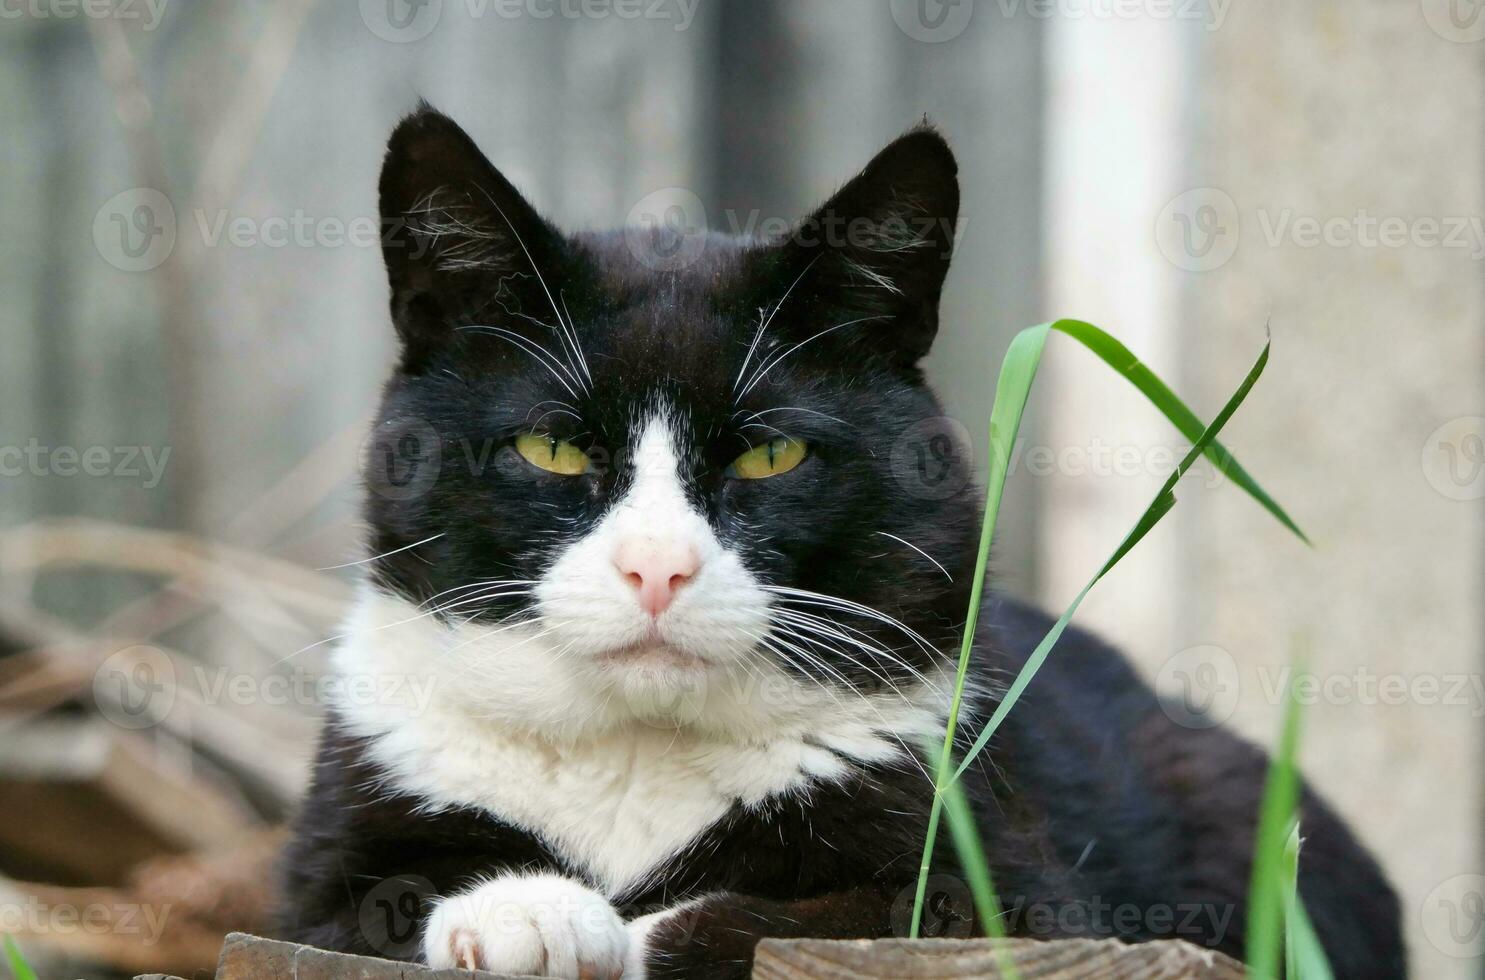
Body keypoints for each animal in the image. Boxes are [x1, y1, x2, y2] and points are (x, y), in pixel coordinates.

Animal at [279, 103, 1401, 974]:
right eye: (551, 447)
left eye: (770, 458)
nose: (657, 567)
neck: (637, 755)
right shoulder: (325, 860)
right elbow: (367, 902)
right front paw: (530, 909)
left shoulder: (1015, 887)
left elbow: (803, 917)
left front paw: (617, 926)